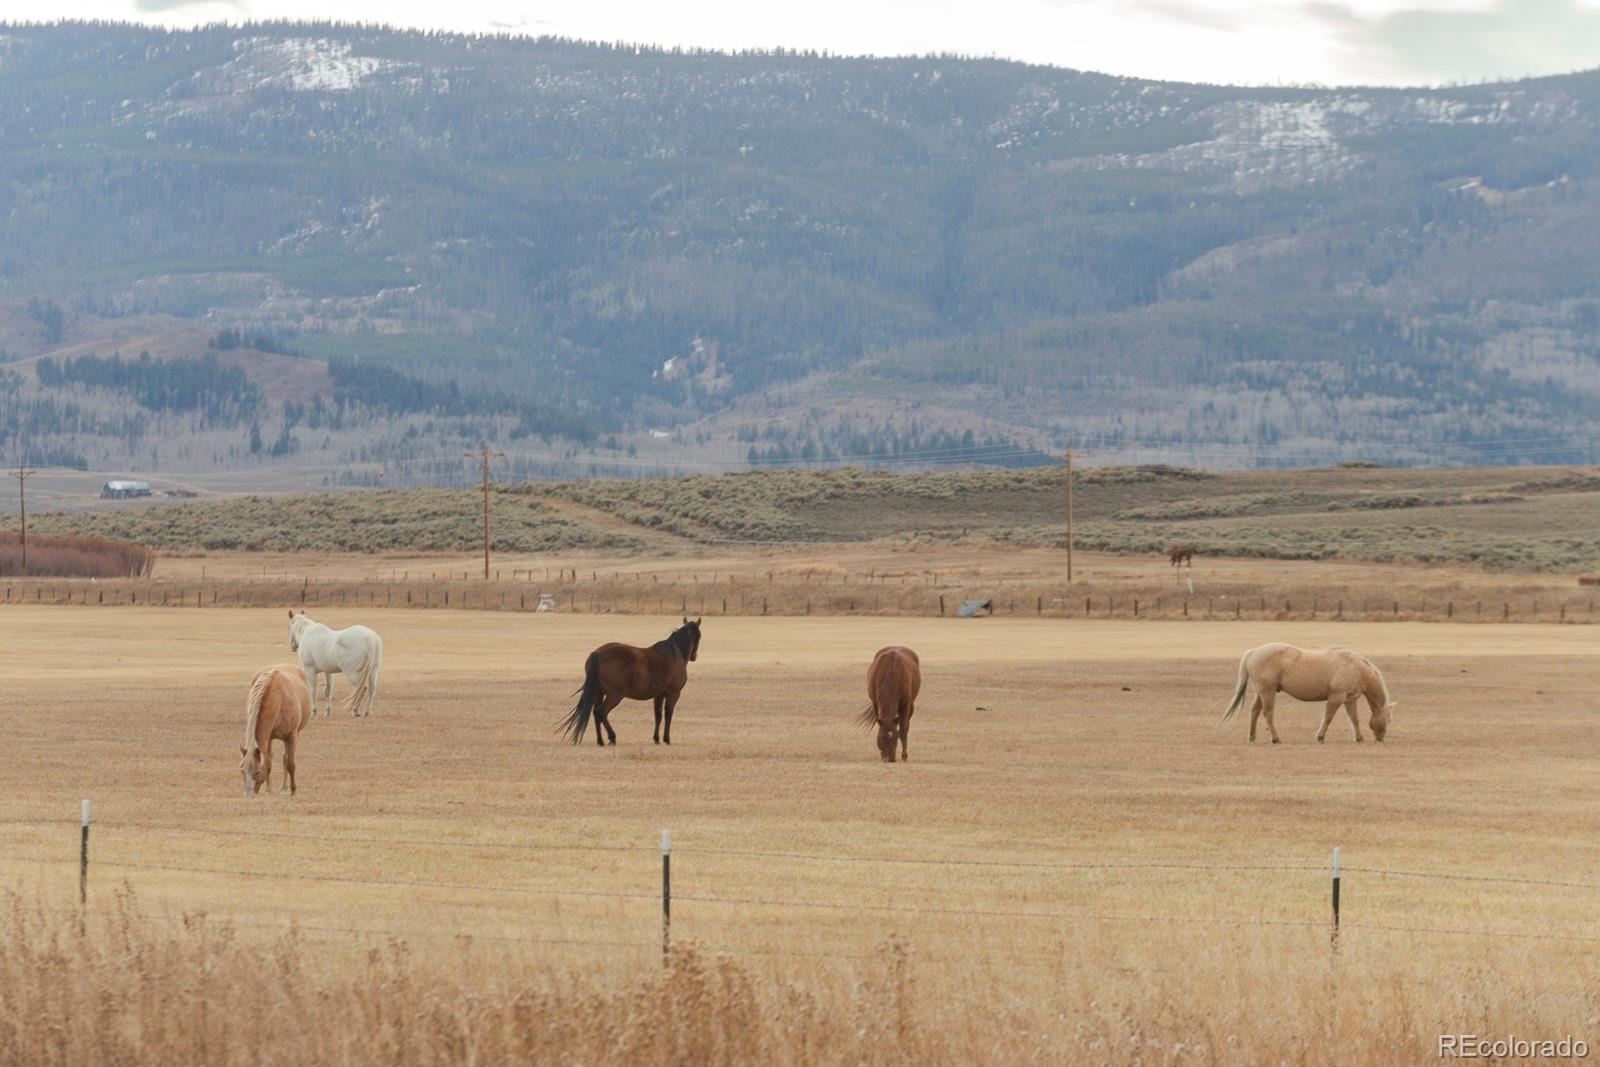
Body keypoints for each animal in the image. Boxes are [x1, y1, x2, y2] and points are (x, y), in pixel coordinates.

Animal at [236, 662, 312, 796]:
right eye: (242, 770)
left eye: (257, 771)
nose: (248, 795)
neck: (277, 697)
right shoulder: (269, 737)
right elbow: (268, 763)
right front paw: (269, 790)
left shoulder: (291, 736)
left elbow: (290, 764)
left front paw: (293, 790)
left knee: (286, 759)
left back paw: (285, 788)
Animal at [563, 620, 700, 748]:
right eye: (698, 636)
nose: (694, 656)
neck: (674, 654)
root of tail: (598, 653)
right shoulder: (673, 693)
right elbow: (668, 715)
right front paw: (666, 739)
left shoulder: (659, 695)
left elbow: (658, 715)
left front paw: (656, 738)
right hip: (615, 696)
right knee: (601, 712)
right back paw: (612, 737)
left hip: (599, 693)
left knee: (596, 714)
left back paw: (600, 741)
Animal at [1216, 643, 1395, 742]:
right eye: (1388, 719)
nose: (1380, 738)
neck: (1355, 667)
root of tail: (1254, 651)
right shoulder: (1336, 697)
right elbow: (1328, 717)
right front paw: (1320, 737)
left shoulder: (1349, 699)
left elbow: (1354, 719)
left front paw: (1359, 738)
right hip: (1267, 692)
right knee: (1268, 713)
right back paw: (1275, 738)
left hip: (1261, 693)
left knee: (1254, 712)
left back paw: (1252, 737)